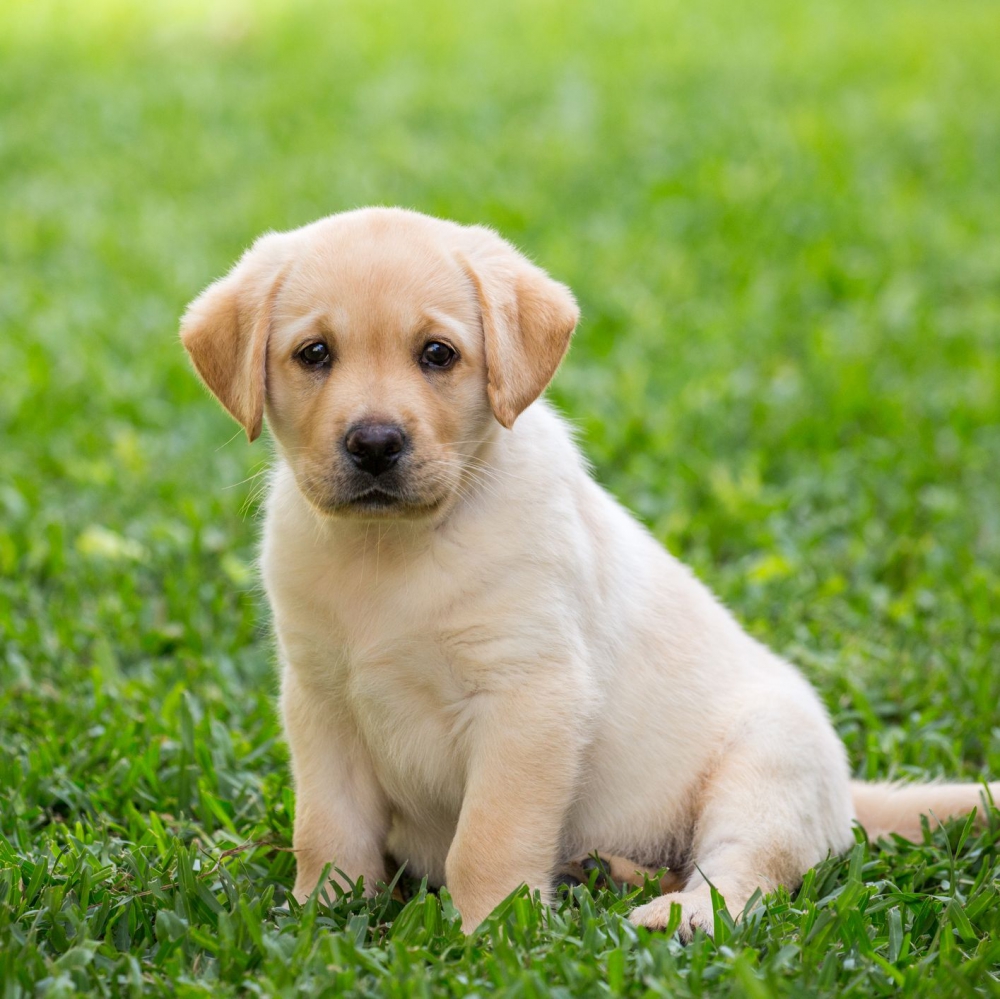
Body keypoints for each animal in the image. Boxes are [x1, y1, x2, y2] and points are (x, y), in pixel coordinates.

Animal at [182, 205, 1000, 936]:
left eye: (438, 354)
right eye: (314, 354)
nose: (375, 443)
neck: (393, 551)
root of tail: (846, 797)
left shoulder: (530, 698)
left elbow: (488, 840)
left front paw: (493, 932)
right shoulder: (322, 702)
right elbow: (328, 831)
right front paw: (316, 916)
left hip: (766, 769)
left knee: (745, 873)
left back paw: (677, 915)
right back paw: (609, 871)